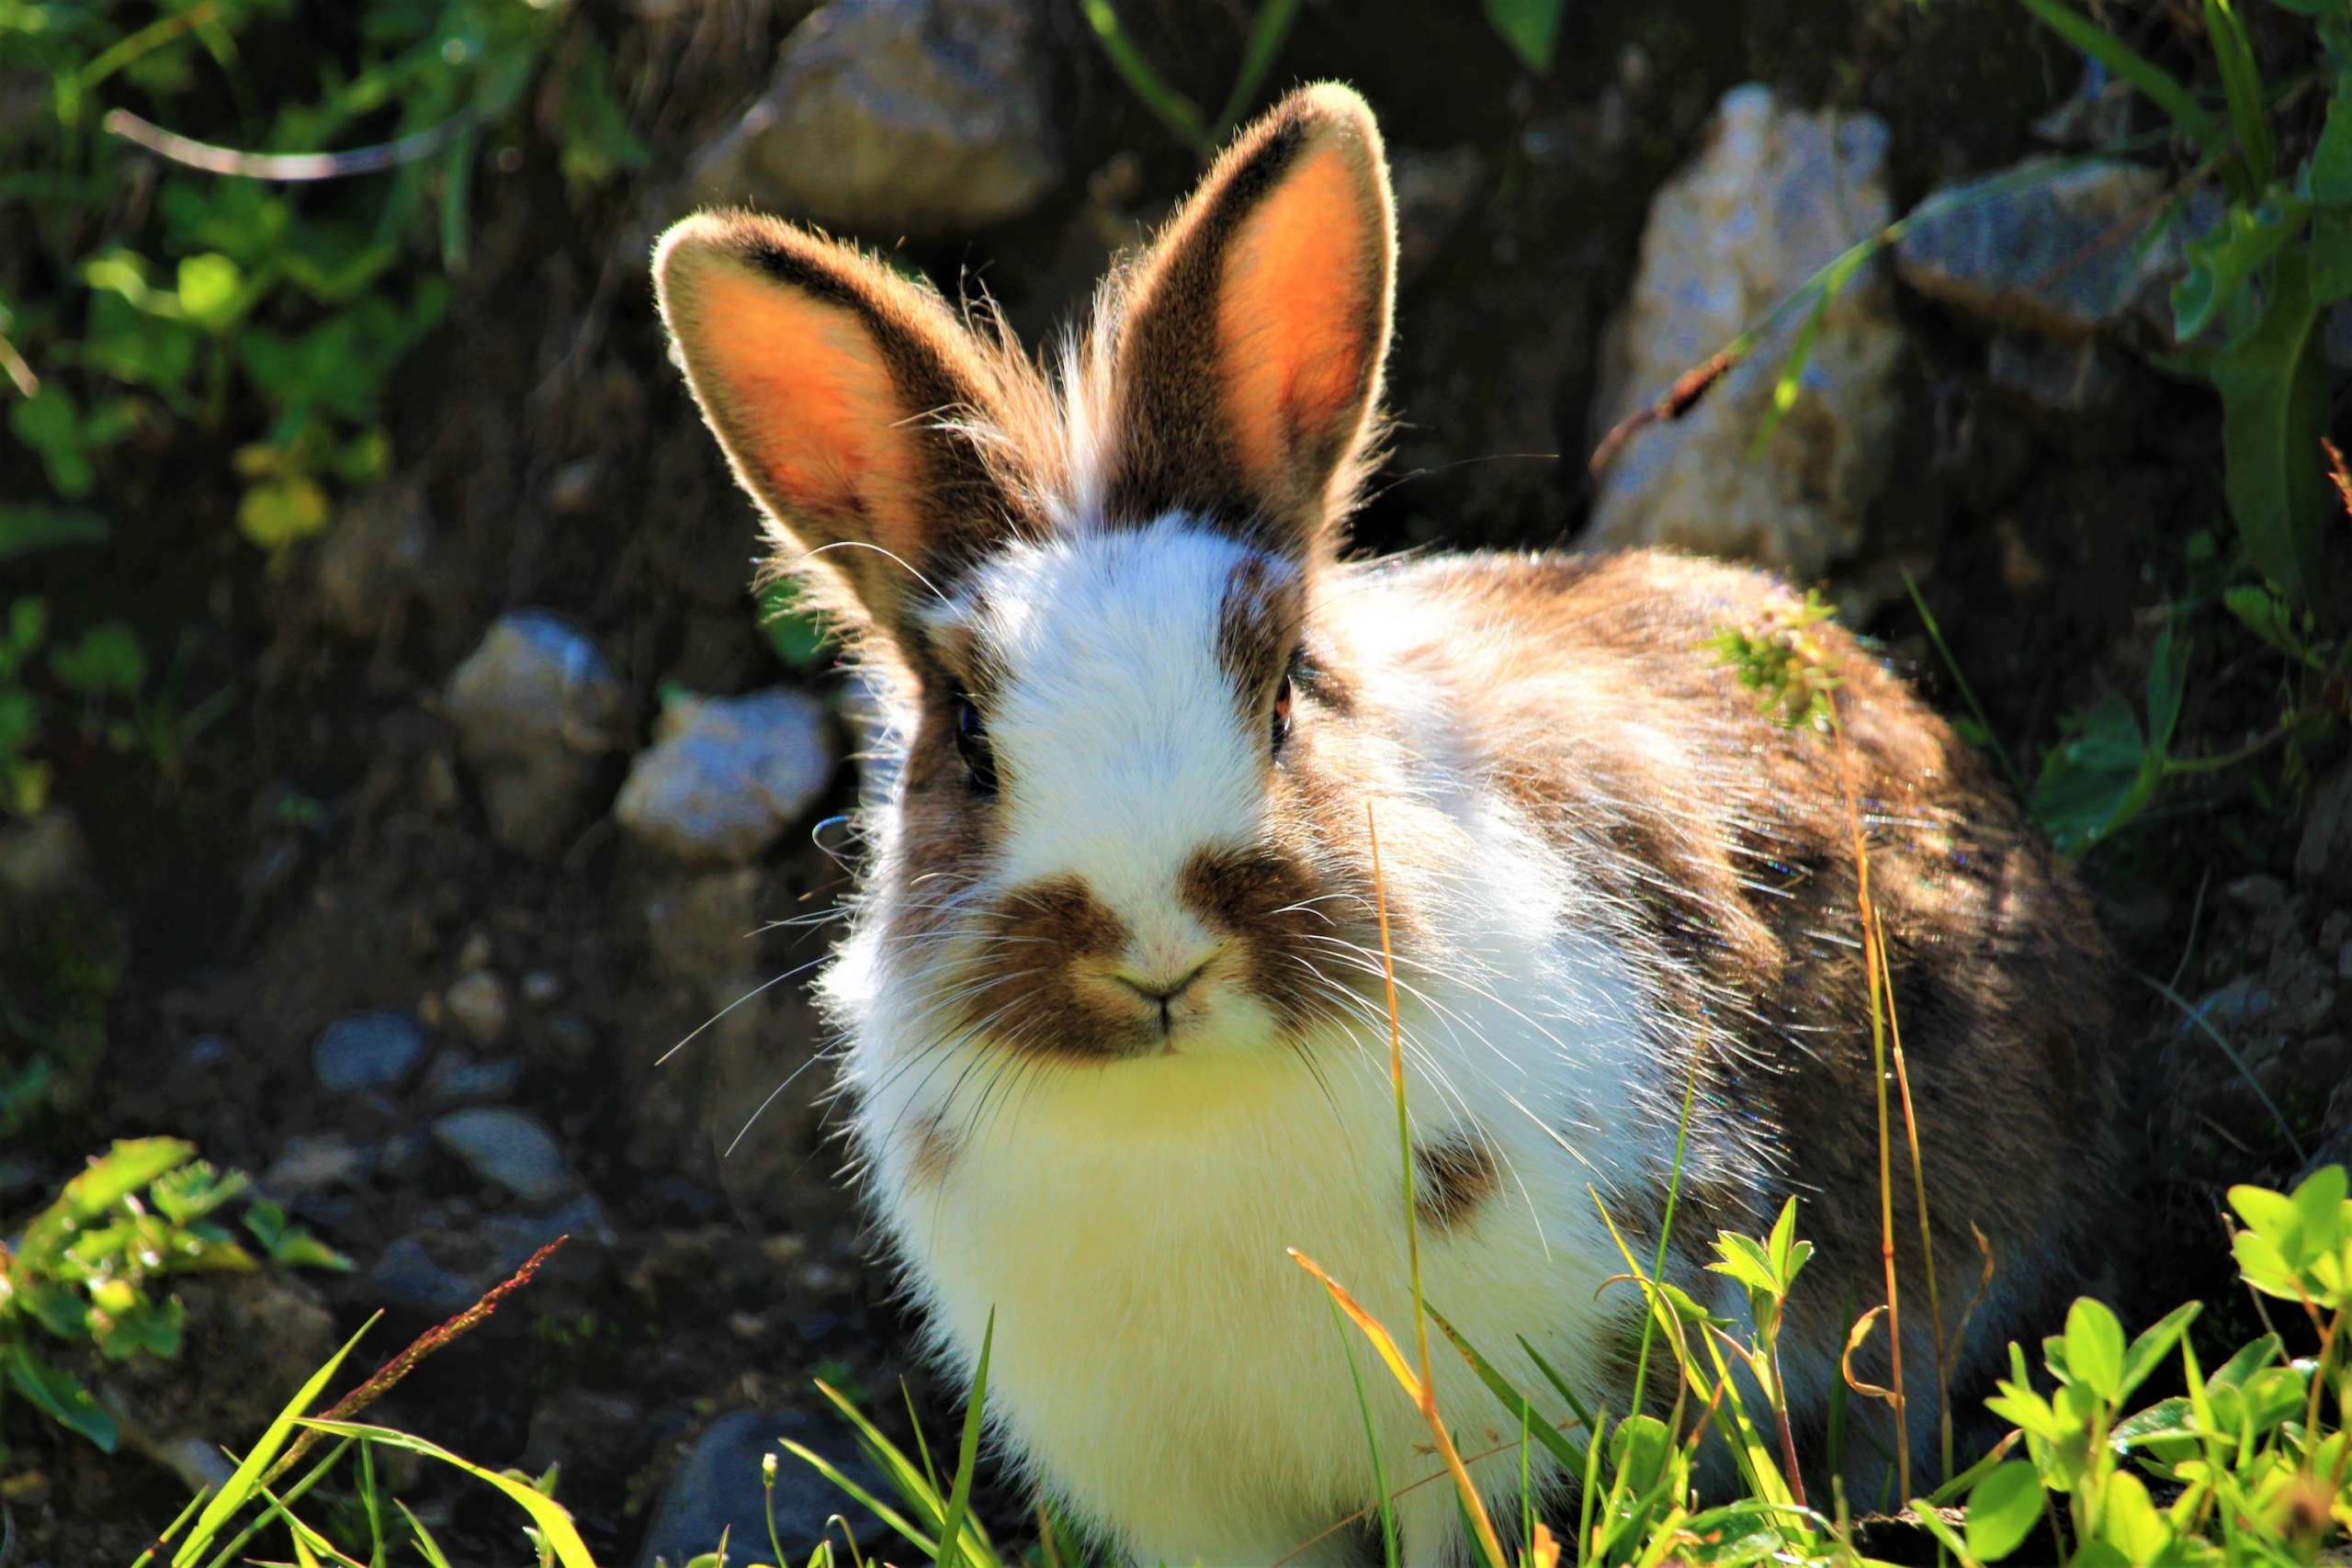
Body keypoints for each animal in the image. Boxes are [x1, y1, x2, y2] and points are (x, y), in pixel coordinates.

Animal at [654, 82, 2121, 1568]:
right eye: (966, 741)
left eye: (1289, 688)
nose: (1156, 947)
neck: (1190, 1107)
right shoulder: (1186, 1489)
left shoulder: (1494, 1410)